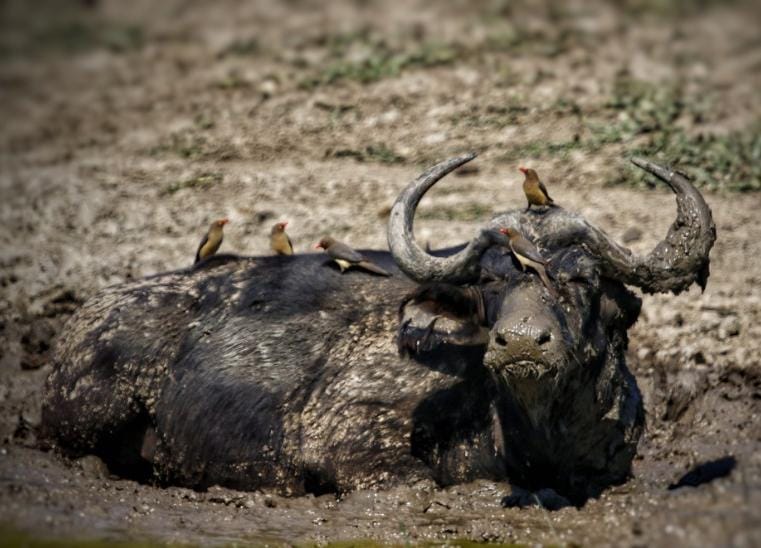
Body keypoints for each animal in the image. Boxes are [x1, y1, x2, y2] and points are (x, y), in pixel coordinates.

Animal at [41, 154, 712, 506]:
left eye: (583, 280)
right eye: (491, 281)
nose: (521, 341)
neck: (529, 430)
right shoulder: (347, 442)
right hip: (84, 411)